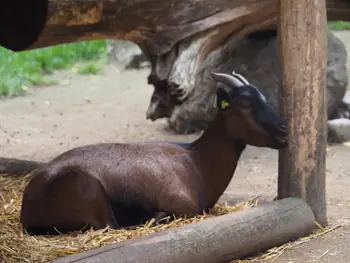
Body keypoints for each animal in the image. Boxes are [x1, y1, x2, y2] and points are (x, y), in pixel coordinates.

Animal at [19, 71, 288, 236]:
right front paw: (154, 217)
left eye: (263, 98)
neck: (196, 162)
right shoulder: (183, 204)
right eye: (246, 104)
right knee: (110, 227)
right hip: (90, 192)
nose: (284, 130)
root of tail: (27, 207)